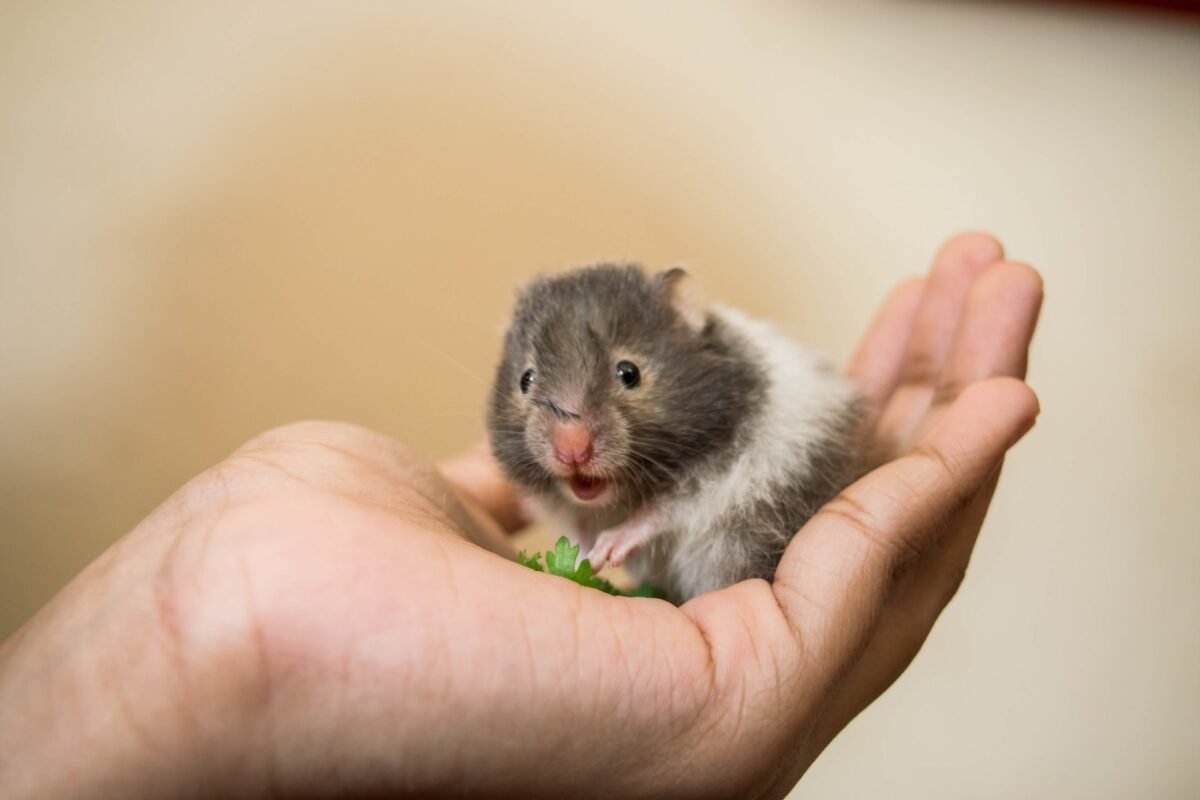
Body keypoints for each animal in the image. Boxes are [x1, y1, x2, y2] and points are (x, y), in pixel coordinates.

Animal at [488, 264, 866, 604]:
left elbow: (660, 512)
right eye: (525, 380)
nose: (571, 451)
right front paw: (585, 558)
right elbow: (577, 528)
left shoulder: (717, 477)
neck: (618, 498)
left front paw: (608, 548)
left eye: (629, 373)